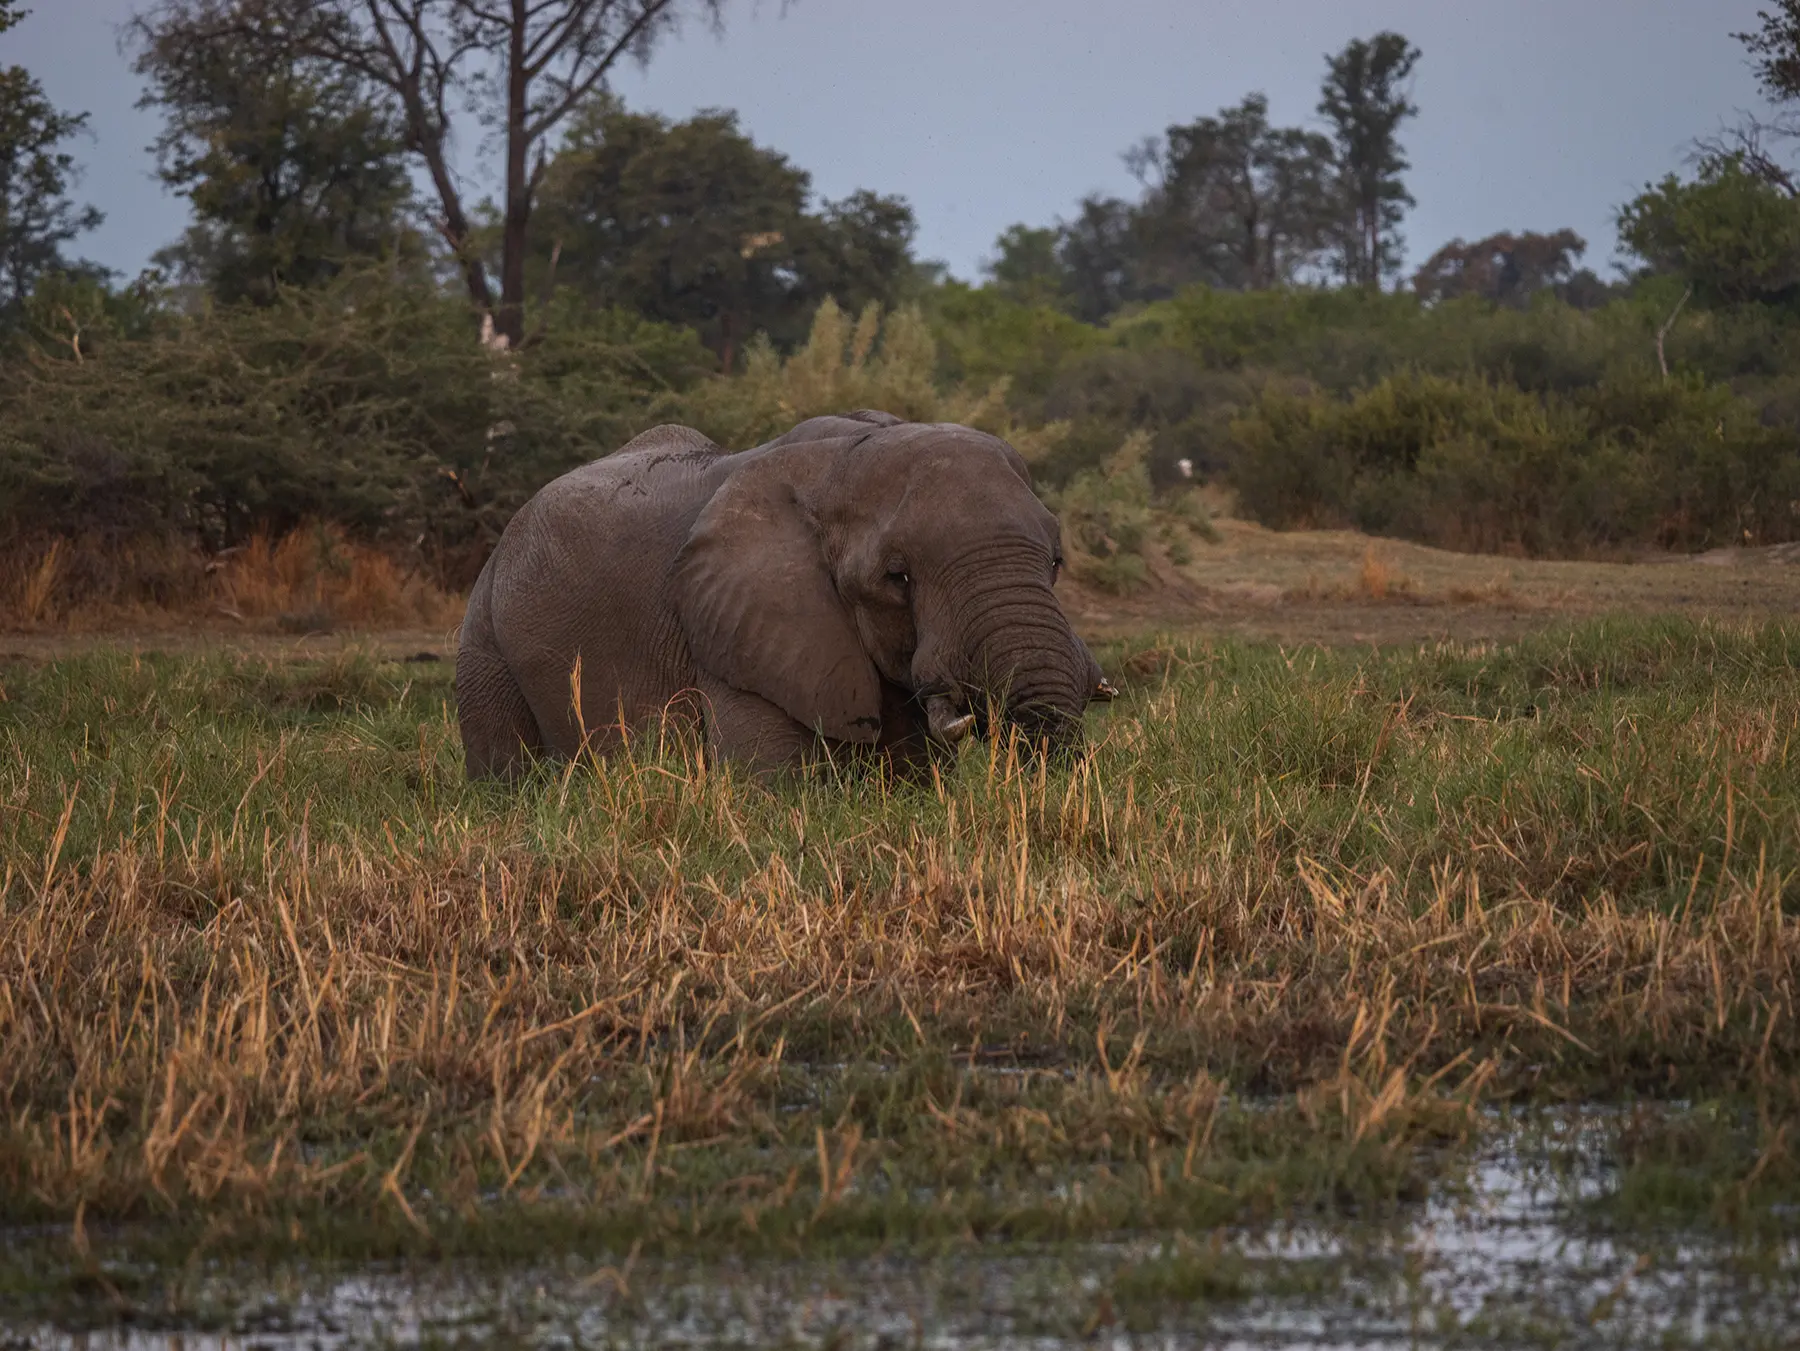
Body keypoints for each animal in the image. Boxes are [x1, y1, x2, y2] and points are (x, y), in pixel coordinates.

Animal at [454, 409, 1116, 779]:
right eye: (897, 578)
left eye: (1056, 562)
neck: (840, 459)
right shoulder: (734, 636)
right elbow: (772, 788)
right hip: (485, 640)